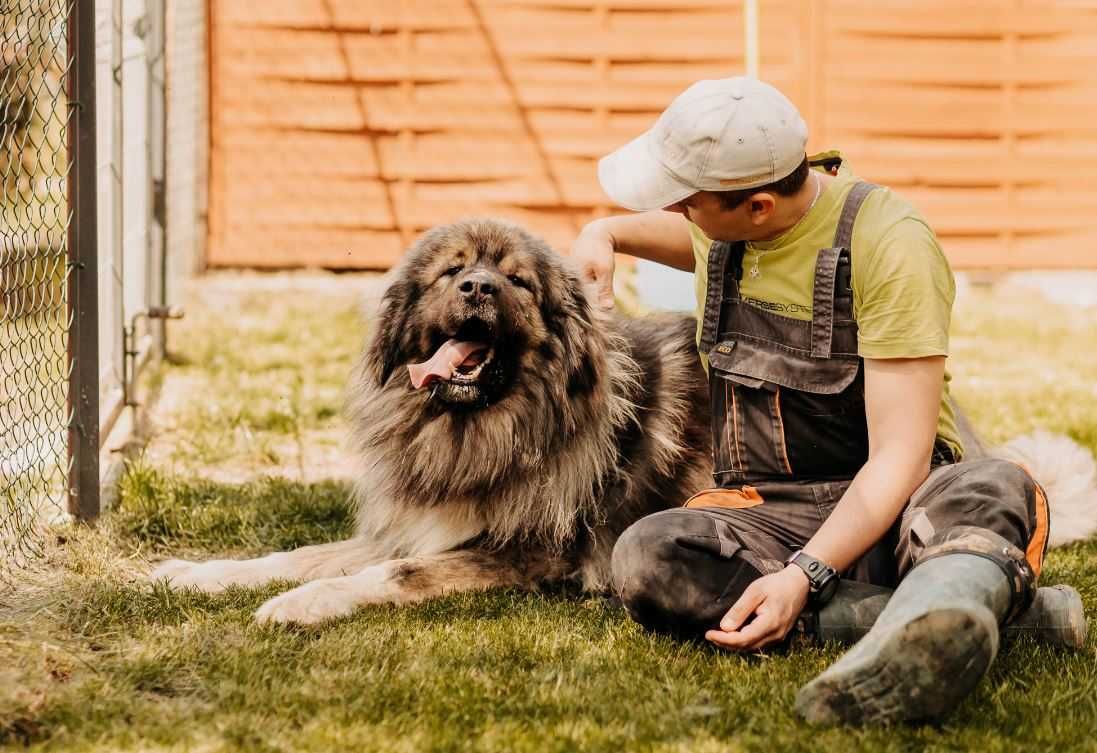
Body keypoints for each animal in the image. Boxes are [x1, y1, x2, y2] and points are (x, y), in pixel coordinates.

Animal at [152, 218, 719, 623]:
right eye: (452, 272)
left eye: (517, 281)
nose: (478, 288)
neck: (471, 429)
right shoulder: (414, 526)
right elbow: (295, 556)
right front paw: (199, 573)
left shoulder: (530, 553)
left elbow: (394, 571)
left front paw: (301, 602)